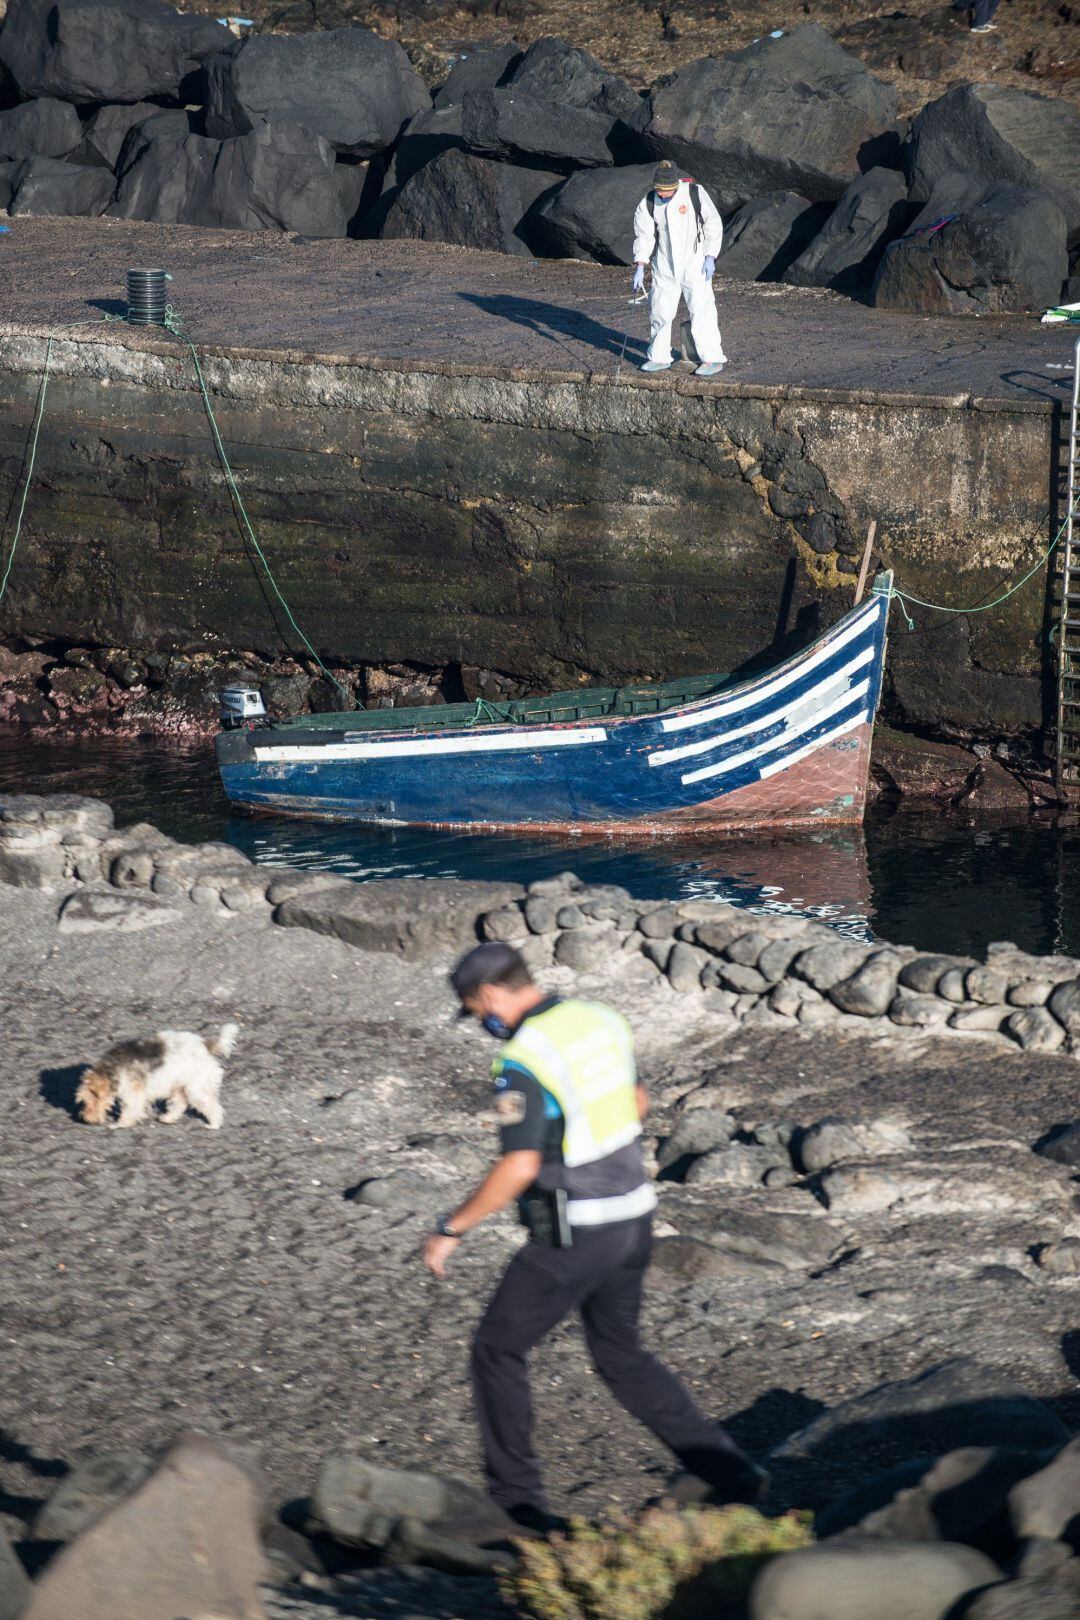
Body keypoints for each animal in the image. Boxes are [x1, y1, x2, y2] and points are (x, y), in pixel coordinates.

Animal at [76, 1023, 241, 1127]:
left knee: (212, 1106)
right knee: (180, 1103)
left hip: (197, 1088)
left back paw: (213, 1125)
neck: (113, 1069)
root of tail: (205, 1045)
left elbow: (130, 1109)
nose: (85, 1119)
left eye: (91, 1099)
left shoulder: (133, 1092)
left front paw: (120, 1124)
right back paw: (168, 1118)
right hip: (178, 1085)